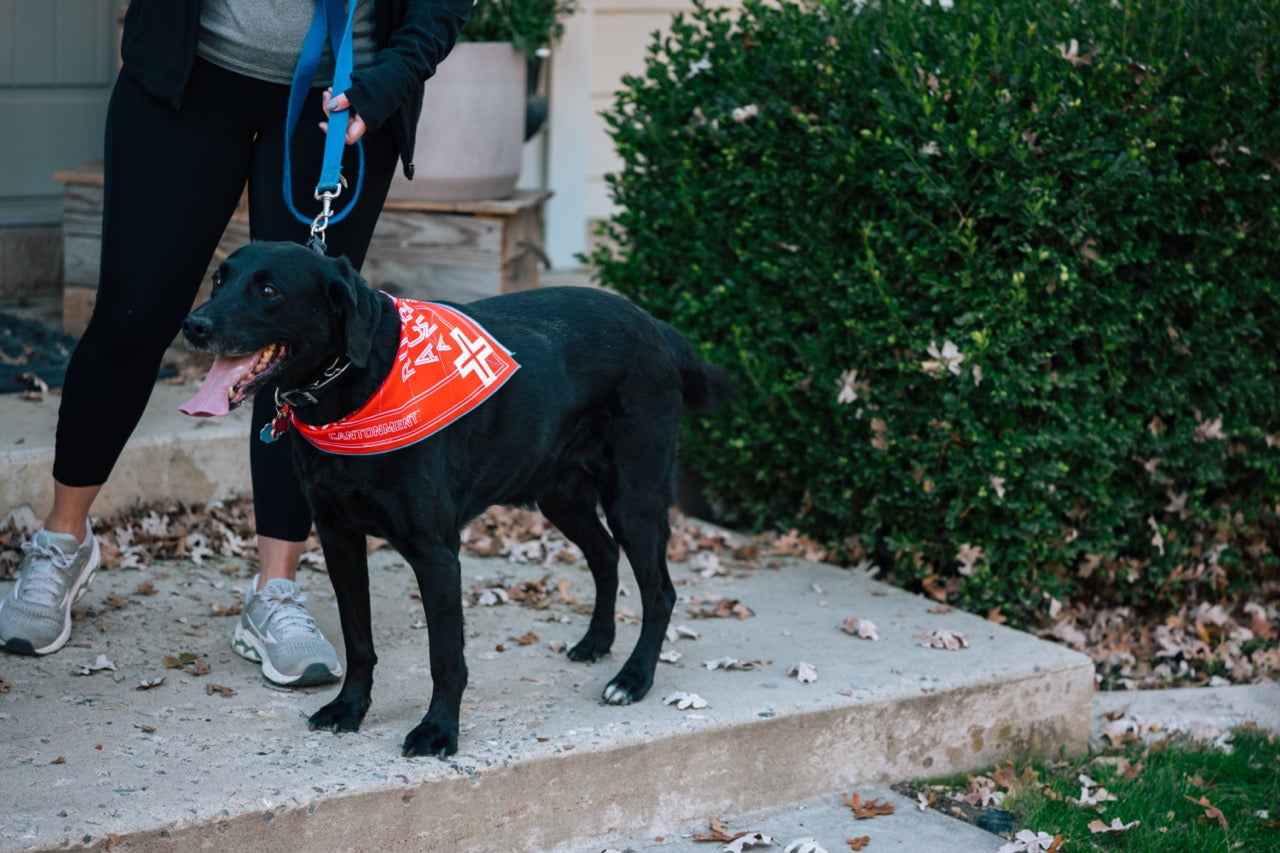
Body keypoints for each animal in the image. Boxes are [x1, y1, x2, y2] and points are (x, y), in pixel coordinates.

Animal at [184, 239, 737, 753]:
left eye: (269, 291)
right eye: (218, 279)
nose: (194, 325)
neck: (358, 386)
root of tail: (656, 326)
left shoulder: (437, 554)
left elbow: (445, 657)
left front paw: (437, 731)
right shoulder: (339, 538)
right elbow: (359, 640)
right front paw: (350, 708)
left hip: (634, 501)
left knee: (659, 592)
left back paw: (633, 679)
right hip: (561, 497)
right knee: (604, 555)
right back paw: (596, 642)